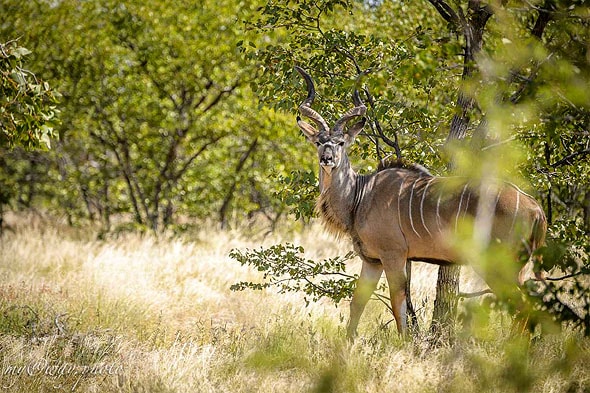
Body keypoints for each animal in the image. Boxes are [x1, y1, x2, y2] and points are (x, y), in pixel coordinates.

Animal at [296, 66, 552, 336]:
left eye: (341, 142)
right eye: (318, 142)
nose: (327, 158)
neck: (360, 195)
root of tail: (535, 208)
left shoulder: (393, 254)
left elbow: (398, 304)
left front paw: (404, 342)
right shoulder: (372, 260)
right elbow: (358, 304)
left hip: (500, 264)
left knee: (522, 305)